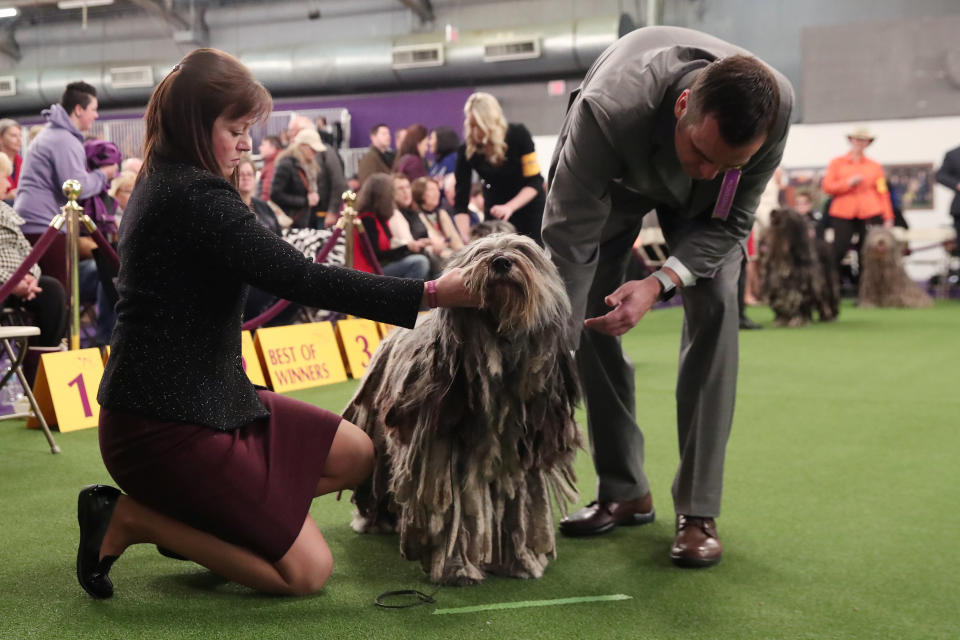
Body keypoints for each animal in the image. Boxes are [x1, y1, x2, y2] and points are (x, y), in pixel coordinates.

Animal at [344, 232, 584, 584]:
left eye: (521, 251)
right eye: (480, 253)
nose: (501, 262)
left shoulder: (520, 458)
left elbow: (516, 509)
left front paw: (520, 562)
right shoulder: (445, 460)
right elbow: (453, 515)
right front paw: (456, 567)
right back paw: (375, 520)